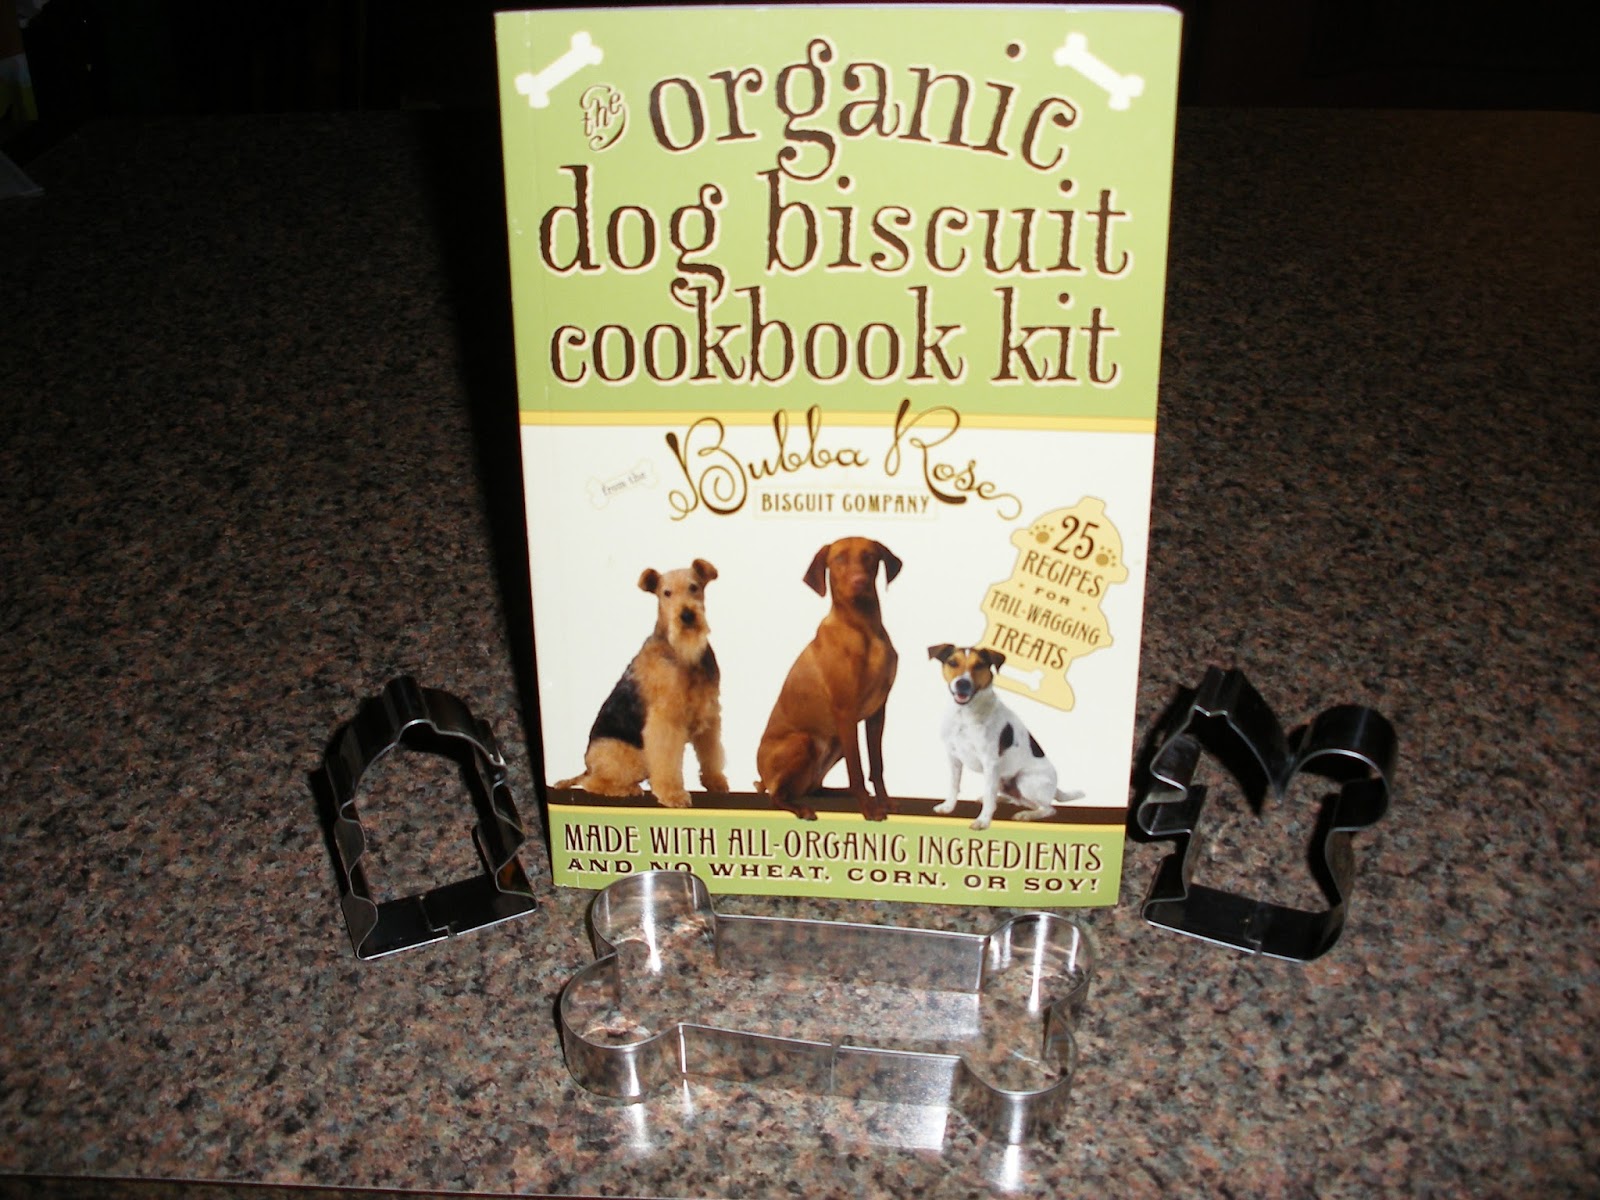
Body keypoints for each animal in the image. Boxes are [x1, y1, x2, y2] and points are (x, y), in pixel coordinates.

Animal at [554, 560, 728, 808]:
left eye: (694, 587)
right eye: (666, 593)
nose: (686, 616)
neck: (683, 653)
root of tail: (586, 766)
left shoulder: (709, 710)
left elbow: (710, 751)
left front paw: (716, 782)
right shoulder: (665, 718)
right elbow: (667, 760)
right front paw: (672, 794)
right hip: (632, 757)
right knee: (593, 782)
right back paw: (628, 789)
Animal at [756, 538, 901, 821]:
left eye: (869, 556)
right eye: (839, 559)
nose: (859, 582)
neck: (864, 628)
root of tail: (762, 776)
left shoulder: (877, 713)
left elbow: (876, 766)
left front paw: (883, 801)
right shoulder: (846, 712)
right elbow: (857, 770)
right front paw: (869, 809)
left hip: (835, 743)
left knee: (814, 787)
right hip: (804, 741)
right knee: (776, 796)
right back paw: (801, 808)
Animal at [927, 644, 1084, 830]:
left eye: (979, 665)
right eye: (952, 663)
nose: (962, 683)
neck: (964, 715)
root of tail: (1056, 788)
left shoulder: (990, 762)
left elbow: (989, 795)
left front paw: (983, 821)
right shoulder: (953, 757)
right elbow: (954, 785)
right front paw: (948, 807)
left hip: (1024, 781)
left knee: (1048, 808)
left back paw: (1026, 815)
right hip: (1003, 781)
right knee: (1018, 800)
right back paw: (1004, 800)